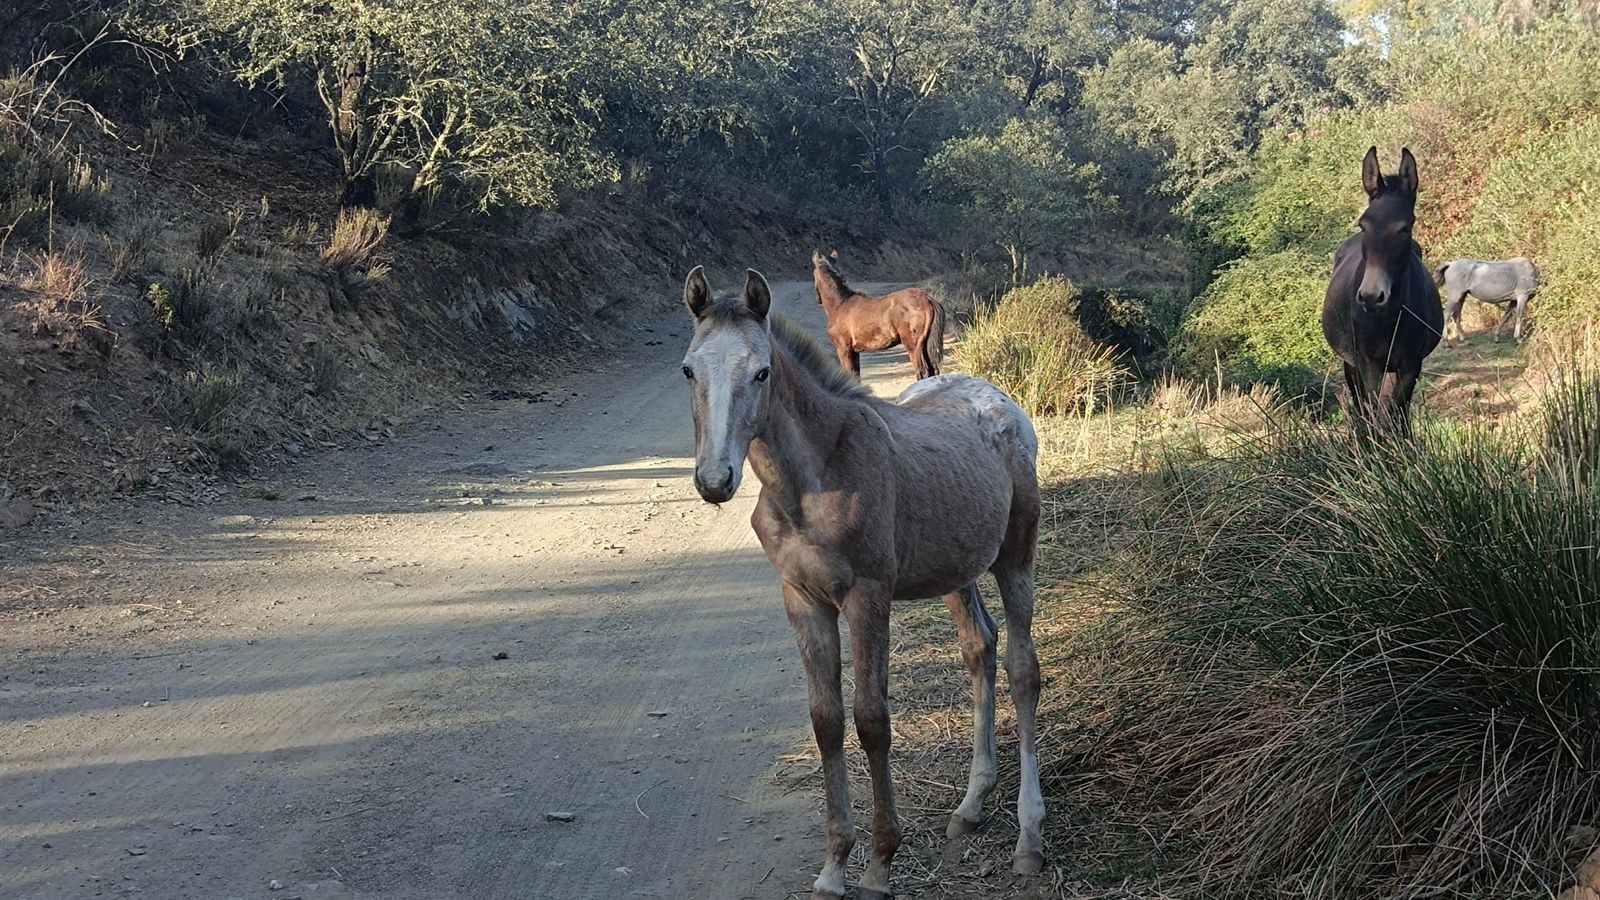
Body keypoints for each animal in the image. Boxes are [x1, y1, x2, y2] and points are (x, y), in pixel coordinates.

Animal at [680, 266, 1045, 900]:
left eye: (762, 371)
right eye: (688, 370)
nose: (714, 479)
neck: (809, 484)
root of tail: (1000, 399)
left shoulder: (867, 598)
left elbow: (871, 720)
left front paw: (879, 865)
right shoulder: (802, 599)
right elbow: (826, 720)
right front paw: (833, 868)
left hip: (1014, 557)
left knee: (1024, 670)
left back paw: (1029, 837)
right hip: (954, 571)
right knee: (980, 648)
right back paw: (972, 804)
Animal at [811, 249, 945, 380]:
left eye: (813, 273)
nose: (818, 299)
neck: (840, 304)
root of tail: (926, 299)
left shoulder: (844, 349)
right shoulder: (854, 352)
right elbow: (856, 376)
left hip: (913, 345)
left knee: (922, 372)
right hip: (925, 344)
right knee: (933, 371)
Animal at [1321, 147, 1443, 435]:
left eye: (1405, 227)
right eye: (1363, 224)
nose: (1370, 297)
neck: (1389, 318)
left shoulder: (1411, 364)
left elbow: (1397, 413)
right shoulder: (1367, 363)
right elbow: (1373, 412)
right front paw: (1376, 445)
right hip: (1350, 363)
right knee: (1361, 407)